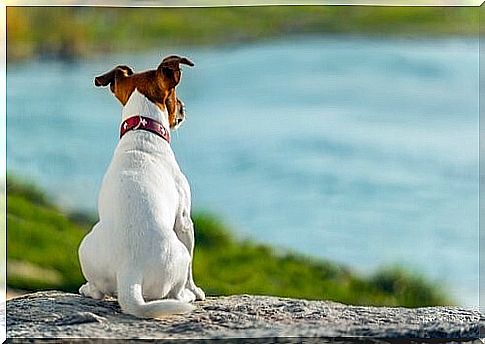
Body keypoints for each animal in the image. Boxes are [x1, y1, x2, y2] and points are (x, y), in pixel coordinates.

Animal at [77, 55, 204, 318]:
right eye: (175, 95)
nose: (183, 107)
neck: (142, 131)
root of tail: (129, 273)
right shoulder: (185, 221)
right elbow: (191, 272)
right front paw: (196, 291)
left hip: (85, 246)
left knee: (98, 290)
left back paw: (86, 288)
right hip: (179, 254)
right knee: (176, 290)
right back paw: (186, 295)